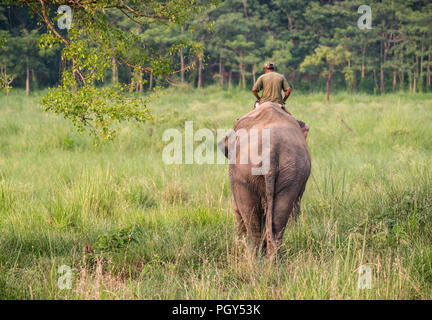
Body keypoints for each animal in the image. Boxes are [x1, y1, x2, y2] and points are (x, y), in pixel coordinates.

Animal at [219, 104, 310, 256]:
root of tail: (270, 151)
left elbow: (236, 208)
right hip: (291, 172)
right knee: (278, 221)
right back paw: (273, 258)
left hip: (244, 173)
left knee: (252, 221)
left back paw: (253, 257)